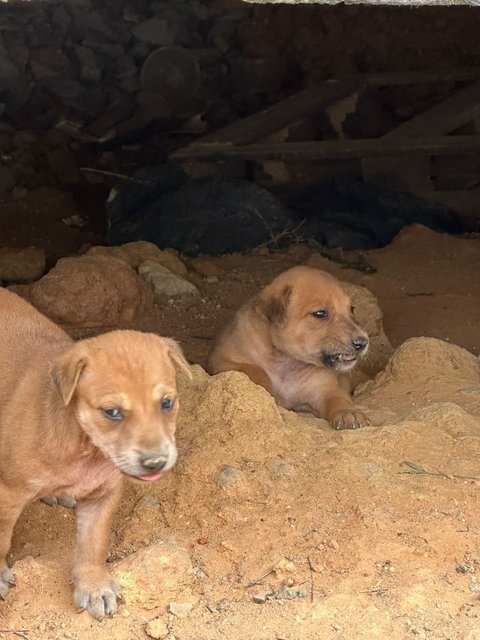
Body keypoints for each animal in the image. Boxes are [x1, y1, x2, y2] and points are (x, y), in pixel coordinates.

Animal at [0, 288, 191, 616]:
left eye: (167, 403)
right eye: (112, 412)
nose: (155, 462)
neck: (85, 449)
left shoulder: (104, 494)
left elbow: (94, 544)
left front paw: (94, 586)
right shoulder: (6, 493)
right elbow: (0, 538)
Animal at [208, 264, 370, 430]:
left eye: (352, 309)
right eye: (320, 313)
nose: (362, 342)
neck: (287, 362)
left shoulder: (325, 389)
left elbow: (339, 398)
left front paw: (349, 413)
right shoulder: (221, 360)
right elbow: (256, 370)